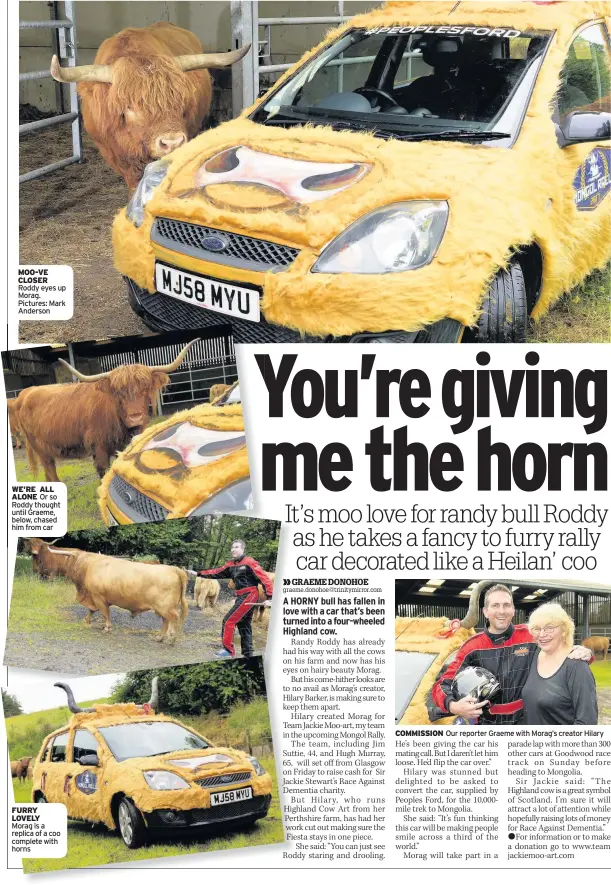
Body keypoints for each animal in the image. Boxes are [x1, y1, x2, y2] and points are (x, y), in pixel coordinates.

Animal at [16, 338, 197, 480]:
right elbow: (104, 472)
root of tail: (26, 392)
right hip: (41, 449)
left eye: (145, 388)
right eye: (118, 393)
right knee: (51, 473)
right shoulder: (99, 448)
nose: (135, 418)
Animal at [29, 540, 186, 644]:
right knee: (166, 621)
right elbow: (93, 610)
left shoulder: (97, 596)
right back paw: (159, 637)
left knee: (173, 618)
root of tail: (174, 569)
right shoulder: (97, 598)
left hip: (166, 606)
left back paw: (171, 638)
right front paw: (87, 620)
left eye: (73, 561)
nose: (65, 575)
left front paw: (107, 627)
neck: (90, 565)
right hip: (162, 608)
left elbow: (104, 612)